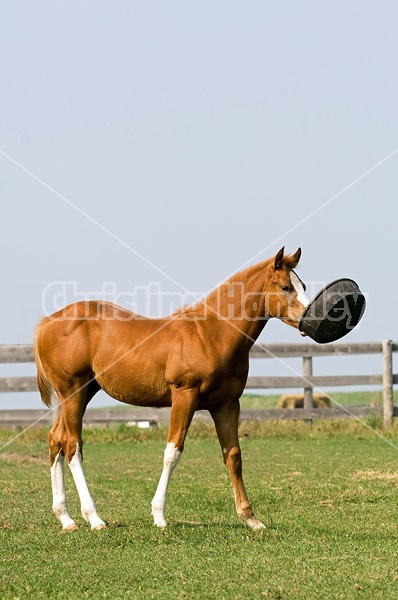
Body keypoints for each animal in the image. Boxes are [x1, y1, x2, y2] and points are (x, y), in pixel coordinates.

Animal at [34, 247, 308, 528]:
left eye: (304, 285)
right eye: (286, 287)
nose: (311, 318)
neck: (210, 335)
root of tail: (48, 323)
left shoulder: (227, 405)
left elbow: (233, 455)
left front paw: (250, 518)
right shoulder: (184, 396)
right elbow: (172, 452)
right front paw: (159, 515)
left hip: (83, 393)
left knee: (56, 439)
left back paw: (66, 518)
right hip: (73, 391)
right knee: (72, 445)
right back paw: (94, 517)